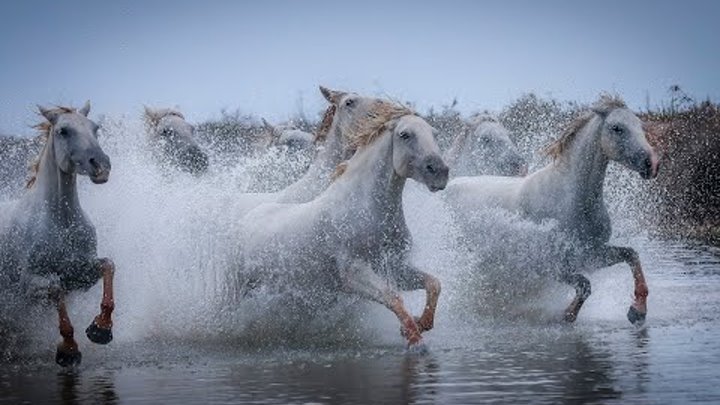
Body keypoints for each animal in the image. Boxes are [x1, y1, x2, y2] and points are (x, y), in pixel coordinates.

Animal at [0, 102, 115, 366]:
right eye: (63, 131)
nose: (101, 165)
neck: (61, 224)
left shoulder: (79, 272)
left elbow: (108, 265)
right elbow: (55, 287)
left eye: (95, 128)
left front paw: (101, 328)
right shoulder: (30, 284)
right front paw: (68, 349)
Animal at [237, 104, 449, 349]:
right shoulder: (353, 274)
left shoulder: (394, 266)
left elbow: (433, 283)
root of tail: (247, 219)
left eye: (434, 134)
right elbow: (393, 297)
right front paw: (415, 339)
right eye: (405, 134)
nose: (440, 172)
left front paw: (421, 323)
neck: (366, 210)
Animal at [444, 95, 659, 325]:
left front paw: (637, 311)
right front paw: (567, 316)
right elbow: (584, 285)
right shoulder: (547, 265)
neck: (571, 200)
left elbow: (631, 255)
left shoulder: (591, 253)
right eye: (617, 128)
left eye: (641, 126)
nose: (651, 163)